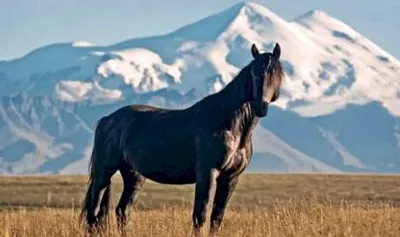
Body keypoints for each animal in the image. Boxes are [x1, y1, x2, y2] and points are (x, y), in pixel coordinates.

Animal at [79, 42, 284, 233]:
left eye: (277, 74)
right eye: (254, 73)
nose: (260, 106)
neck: (229, 125)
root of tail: (108, 119)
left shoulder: (230, 178)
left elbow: (216, 218)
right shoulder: (207, 173)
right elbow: (200, 216)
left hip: (133, 175)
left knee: (122, 211)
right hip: (104, 172)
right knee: (93, 211)